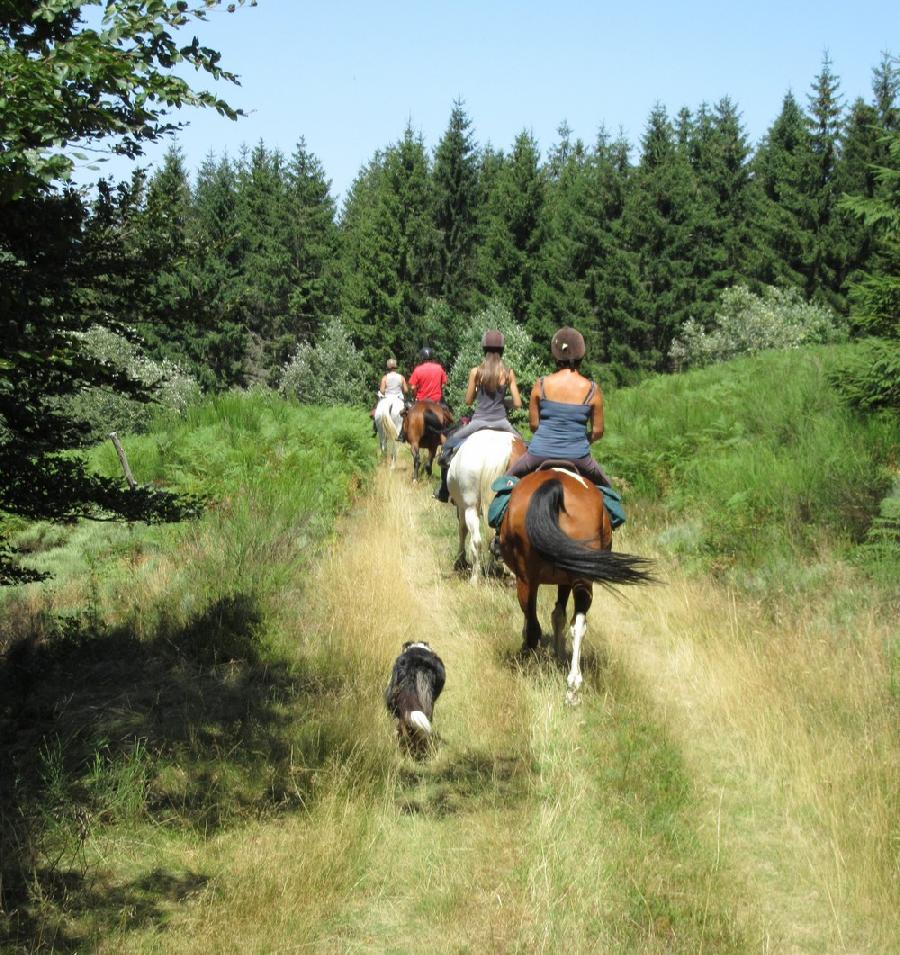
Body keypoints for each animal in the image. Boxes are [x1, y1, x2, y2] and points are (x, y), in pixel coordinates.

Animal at [446, 428, 524, 580]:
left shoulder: (462, 507)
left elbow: (462, 529)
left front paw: (460, 561)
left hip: (470, 507)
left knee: (477, 541)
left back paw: (475, 578)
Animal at [500, 468, 652, 704]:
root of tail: (556, 484)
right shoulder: (566, 578)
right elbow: (559, 615)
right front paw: (559, 654)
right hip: (582, 575)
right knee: (578, 624)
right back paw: (572, 687)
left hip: (527, 578)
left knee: (533, 626)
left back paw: (529, 665)